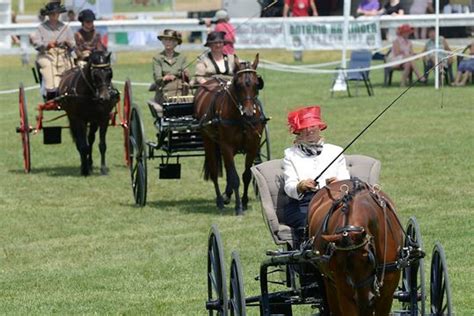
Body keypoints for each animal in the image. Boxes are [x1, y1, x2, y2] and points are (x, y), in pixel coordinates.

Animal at [193, 54, 266, 216]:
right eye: (238, 84)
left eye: (257, 83)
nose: (249, 113)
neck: (241, 119)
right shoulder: (227, 146)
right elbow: (234, 178)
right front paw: (238, 207)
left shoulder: (253, 146)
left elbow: (246, 175)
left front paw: (244, 202)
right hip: (208, 140)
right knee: (214, 171)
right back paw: (220, 200)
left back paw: (227, 195)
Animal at [308, 179, 404, 314]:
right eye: (339, 264)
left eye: (368, 260)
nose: (363, 299)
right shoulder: (345, 293)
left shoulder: (386, 294)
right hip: (330, 283)